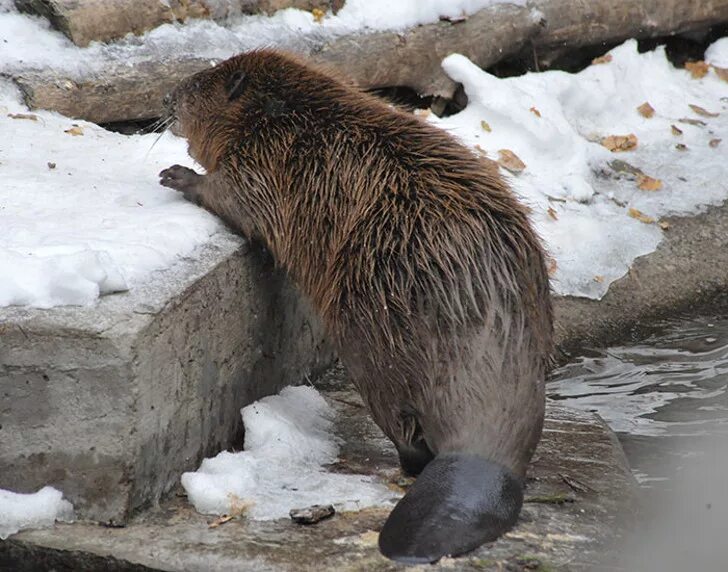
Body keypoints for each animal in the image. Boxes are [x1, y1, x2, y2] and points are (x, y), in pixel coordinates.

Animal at [159, 49, 552, 564]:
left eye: (198, 84)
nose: (166, 97)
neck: (286, 114)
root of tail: (482, 456)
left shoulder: (267, 161)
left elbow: (238, 200)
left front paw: (177, 176)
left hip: (370, 347)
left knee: (405, 430)